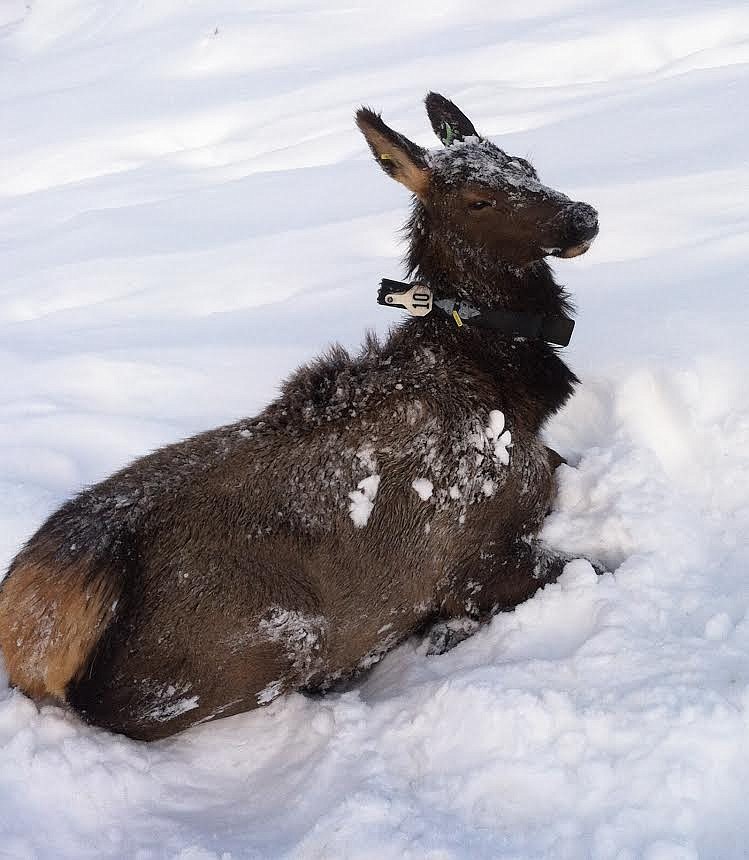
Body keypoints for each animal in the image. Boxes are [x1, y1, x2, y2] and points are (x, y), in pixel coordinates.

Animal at [0, 93, 601, 740]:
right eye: (478, 198)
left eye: (525, 164)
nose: (583, 217)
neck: (505, 389)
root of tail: (27, 629)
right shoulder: (472, 558)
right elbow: (594, 566)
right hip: (273, 638)